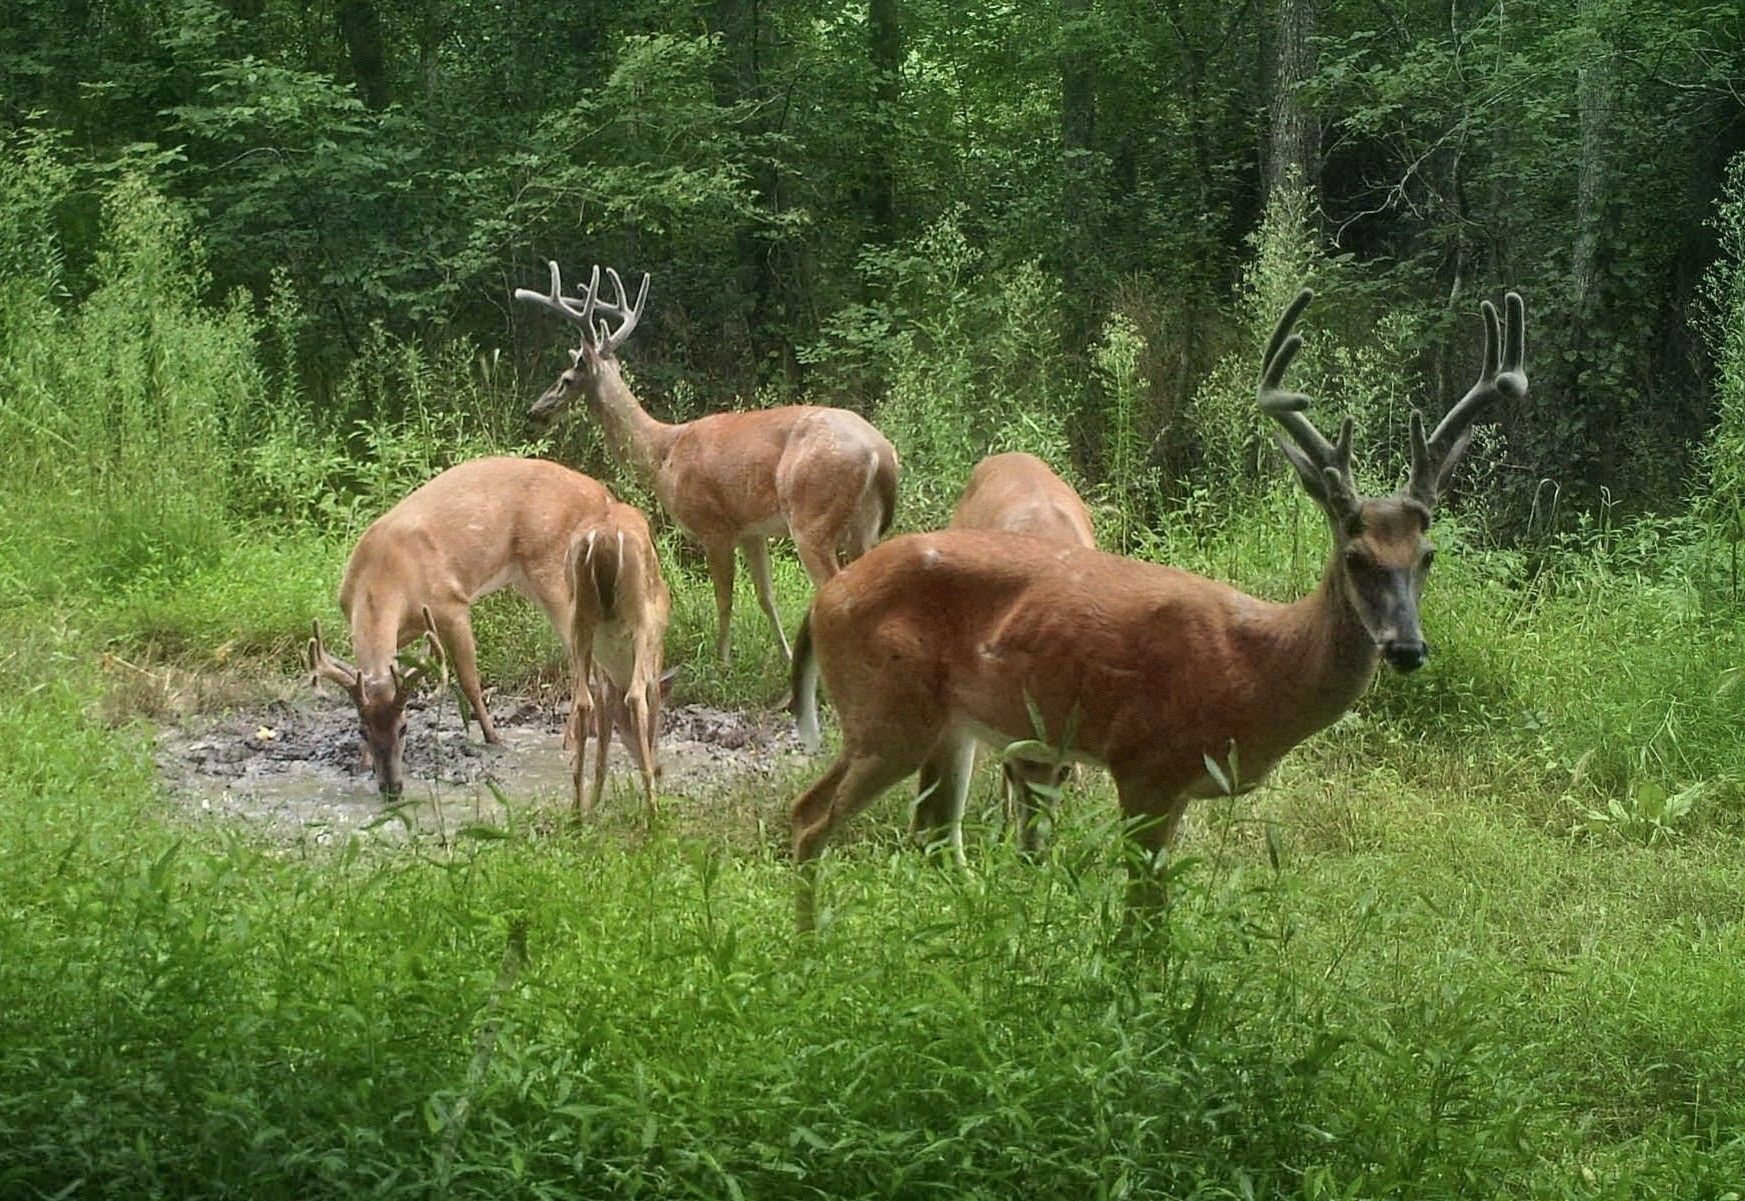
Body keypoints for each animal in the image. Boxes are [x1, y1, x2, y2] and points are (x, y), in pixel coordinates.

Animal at [308, 456, 614, 796]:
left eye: (404, 728)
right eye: (364, 731)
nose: (392, 786)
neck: (386, 577)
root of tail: (603, 496)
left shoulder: (452, 605)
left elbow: (469, 680)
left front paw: (494, 738)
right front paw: (361, 765)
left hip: (550, 567)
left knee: (578, 659)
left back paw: (570, 741)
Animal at [514, 262, 901, 665]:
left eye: (565, 378)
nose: (535, 411)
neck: (663, 453)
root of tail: (881, 453)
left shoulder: (713, 526)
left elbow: (725, 599)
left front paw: (722, 661)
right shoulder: (749, 529)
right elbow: (766, 596)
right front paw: (784, 657)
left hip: (813, 516)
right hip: (864, 525)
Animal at [567, 496, 674, 820]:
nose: (661, 769)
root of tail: (603, 538)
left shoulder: (604, 678)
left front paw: (594, 803)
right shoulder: (653, 668)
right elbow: (650, 716)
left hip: (578, 621)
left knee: (582, 702)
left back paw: (577, 811)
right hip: (641, 619)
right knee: (636, 697)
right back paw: (654, 811)